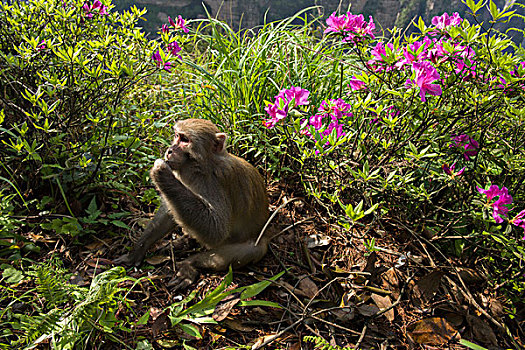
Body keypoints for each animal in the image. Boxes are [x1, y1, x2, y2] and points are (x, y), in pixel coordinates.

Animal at [114, 119, 270, 288]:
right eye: (177, 136)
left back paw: (190, 263)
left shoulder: (216, 182)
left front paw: (161, 172)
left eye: (185, 140)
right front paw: (136, 251)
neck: (200, 168)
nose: (169, 150)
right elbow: (169, 210)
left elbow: (218, 230)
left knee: (253, 249)